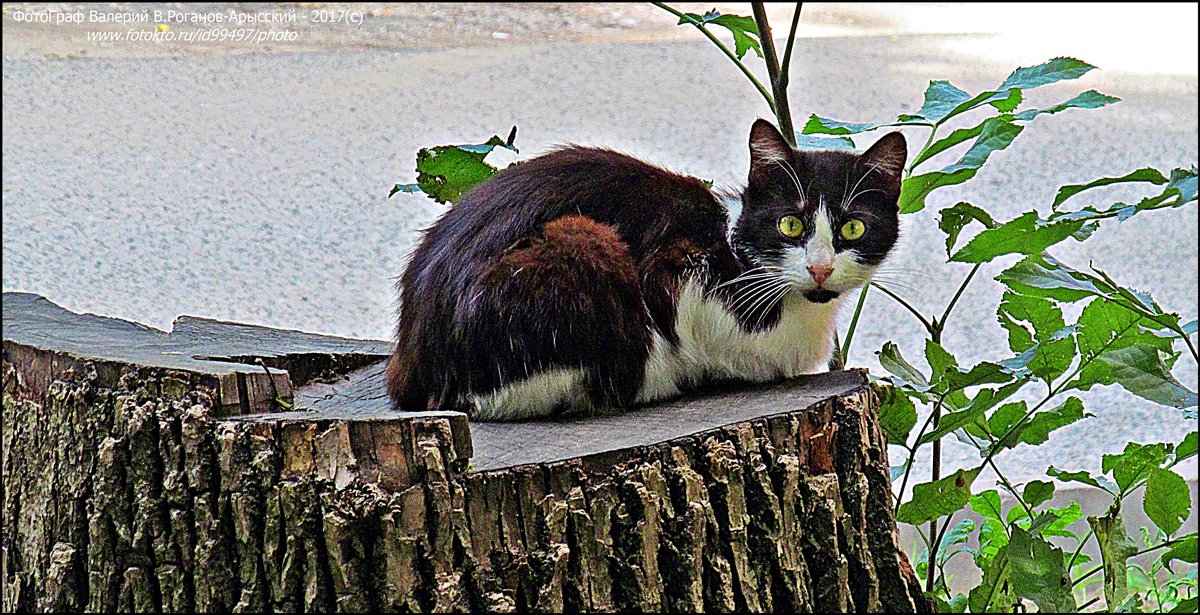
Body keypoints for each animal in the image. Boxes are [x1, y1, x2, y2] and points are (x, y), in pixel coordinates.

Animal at [388, 117, 902, 420]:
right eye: (790, 223)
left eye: (853, 228)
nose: (820, 269)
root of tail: (413, 362)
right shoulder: (676, 270)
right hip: (581, 244)